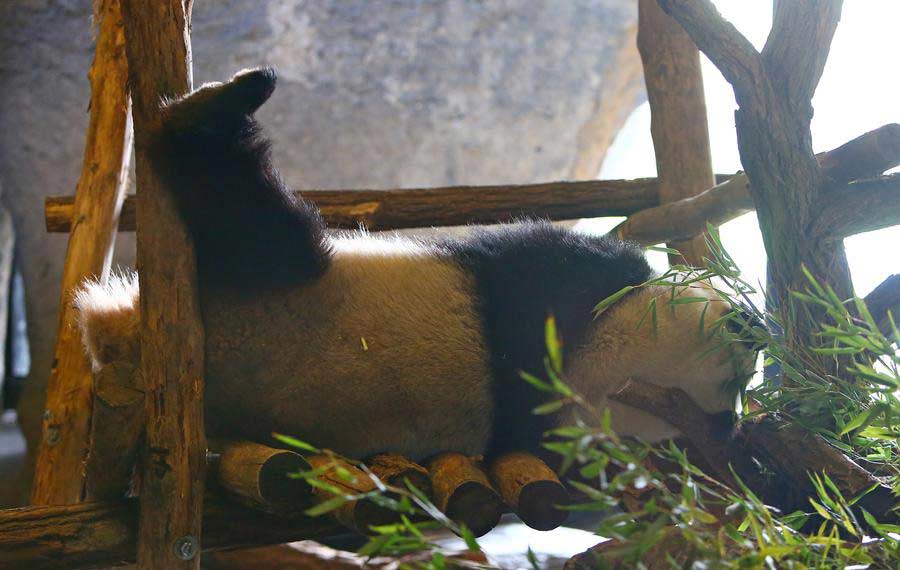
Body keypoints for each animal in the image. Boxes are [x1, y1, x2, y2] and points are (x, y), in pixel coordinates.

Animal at [74, 69, 756, 462]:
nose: (754, 326)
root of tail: (123, 343)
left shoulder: (546, 289)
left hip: (279, 279)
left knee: (242, 204)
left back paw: (215, 107)